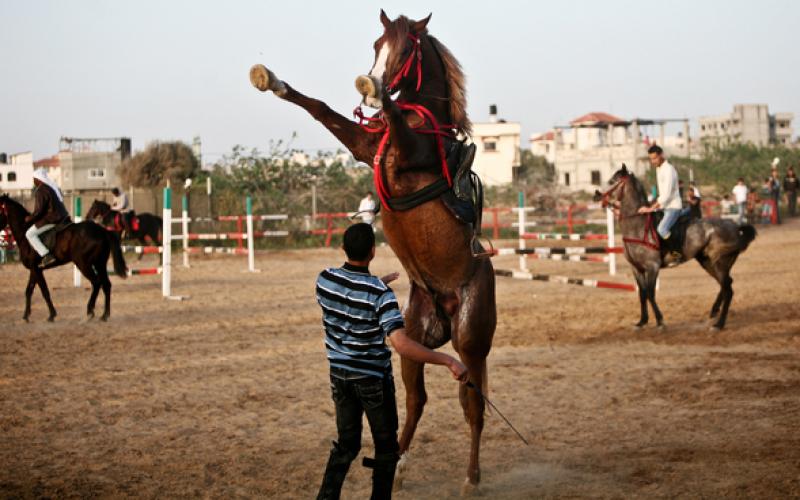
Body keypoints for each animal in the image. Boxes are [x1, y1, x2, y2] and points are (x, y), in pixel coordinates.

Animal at [252, 9, 494, 494]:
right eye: (377, 43)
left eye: (406, 47)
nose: (370, 83)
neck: (428, 124)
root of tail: (447, 302)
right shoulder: (367, 147)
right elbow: (320, 109)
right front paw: (272, 81)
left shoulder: (407, 150)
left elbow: (392, 116)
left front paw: (381, 94)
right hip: (414, 339)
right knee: (417, 400)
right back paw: (395, 465)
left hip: (471, 341)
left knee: (473, 404)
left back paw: (471, 477)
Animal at [592, 165, 756, 332]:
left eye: (612, 181)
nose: (596, 195)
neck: (637, 226)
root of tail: (736, 227)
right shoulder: (636, 268)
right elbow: (642, 294)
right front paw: (642, 321)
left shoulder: (652, 266)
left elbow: (650, 293)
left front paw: (660, 321)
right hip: (708, 263)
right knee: (726, 284)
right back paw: (714, 311)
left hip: (720, 263)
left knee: (728, 290)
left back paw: (719, 324)